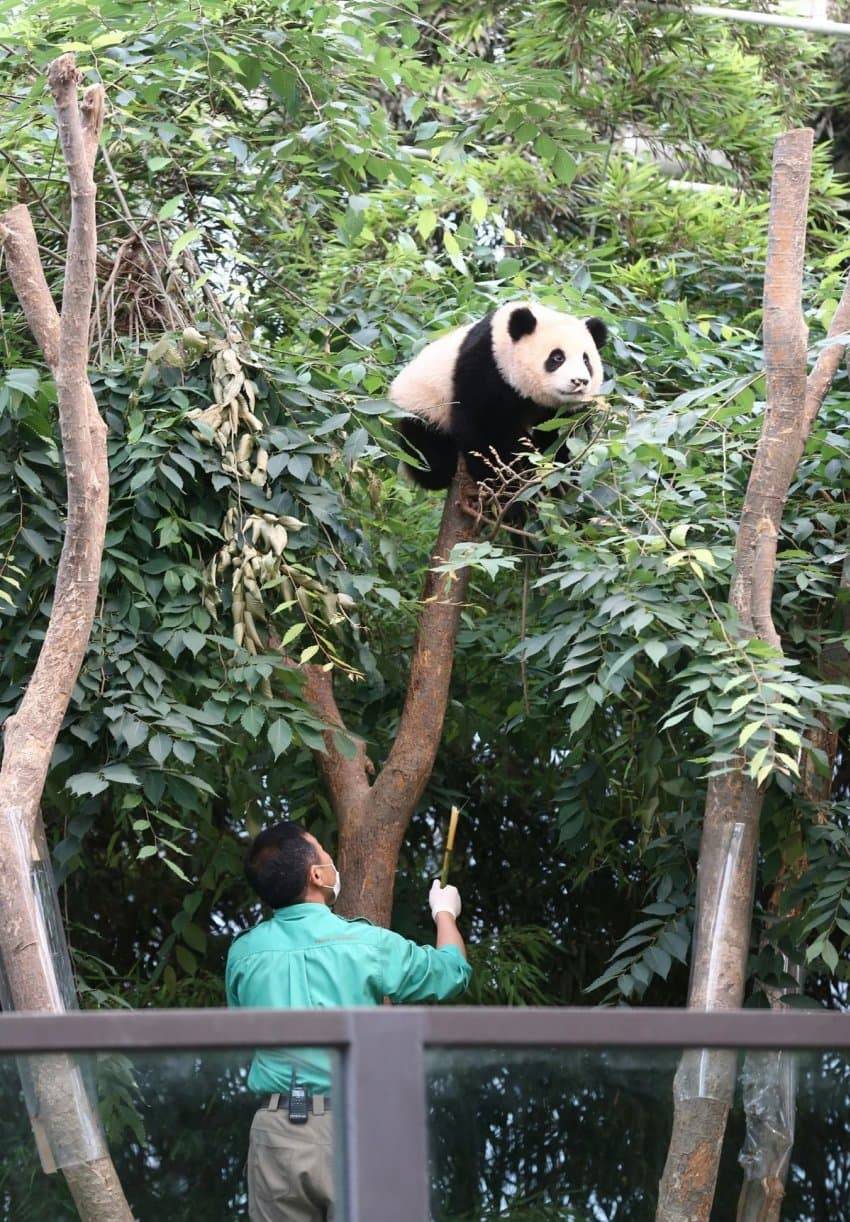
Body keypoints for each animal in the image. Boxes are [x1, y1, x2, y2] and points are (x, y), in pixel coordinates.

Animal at [388, 303, 608, 493]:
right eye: (557, 357)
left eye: (586, 360)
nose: (580, 381)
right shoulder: (484, 368)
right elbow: (483, 432)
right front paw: (509, 486)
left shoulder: (563, 414)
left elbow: (561, 436)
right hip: (423, 408)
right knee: (428, 456)